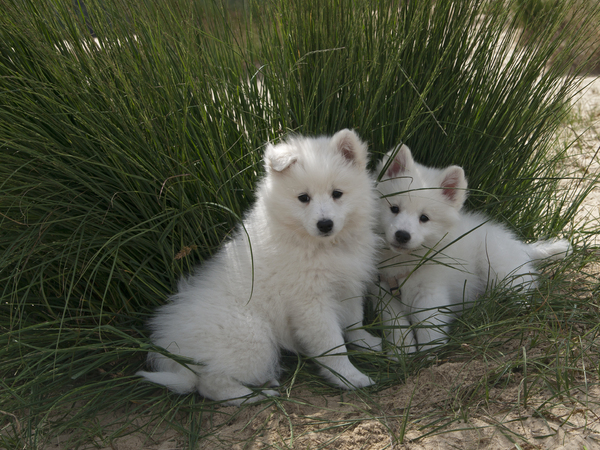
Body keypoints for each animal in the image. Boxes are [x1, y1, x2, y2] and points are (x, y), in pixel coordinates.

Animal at [136, 129, 380, 404]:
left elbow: (354, 321)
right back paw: (256, 395)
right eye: (303, 198)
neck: (320, 246)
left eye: (337, 193)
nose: (325, 224)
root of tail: (174, 356)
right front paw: (350, 377)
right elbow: (332, 345)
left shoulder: (349, 284)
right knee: (212, 384)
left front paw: (368, 342)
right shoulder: (311, 304)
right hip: (252, 340)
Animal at [376, 143, 568, 352]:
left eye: (424, 218)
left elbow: (430, 330)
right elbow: (397, 328)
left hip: (498, 268)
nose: (402, 235)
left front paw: (429, 355)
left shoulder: (430, 296)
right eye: (394, 209)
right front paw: (402, 352)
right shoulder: (385, 296)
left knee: (523, 292)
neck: (406, 263)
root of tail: (521, 247)